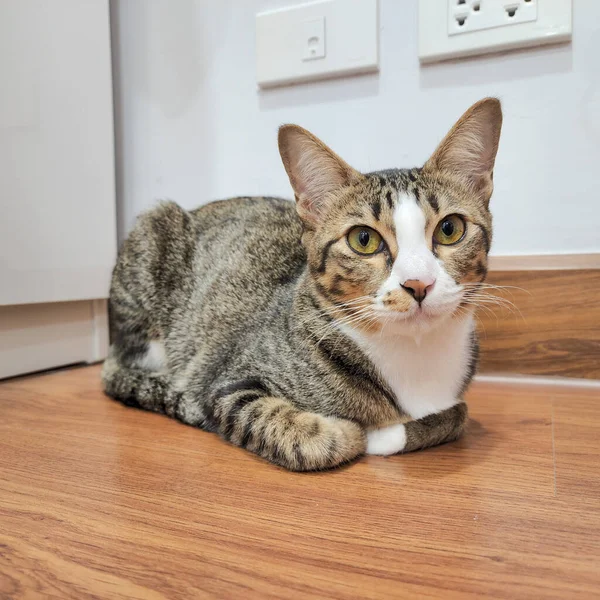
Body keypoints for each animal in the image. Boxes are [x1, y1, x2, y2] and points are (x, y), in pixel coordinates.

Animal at [102, 98, 502, 472]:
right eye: (363, 240)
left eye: (450, 229)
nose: (418, 283)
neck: (413, 356)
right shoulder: (225, 382)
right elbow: (301, 432)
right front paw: (354, 432)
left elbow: (459, 415)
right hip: (152, 247)